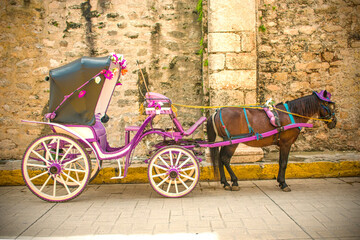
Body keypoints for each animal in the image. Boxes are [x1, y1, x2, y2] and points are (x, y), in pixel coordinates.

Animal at [207, 90, 336, 191]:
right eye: (327, 104)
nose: (334, 122)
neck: (292, 114)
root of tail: (216, 112)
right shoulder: (286, 143)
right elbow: (284, 163)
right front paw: (284, 184)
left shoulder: (282, 144)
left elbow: (280, 162)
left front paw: (280, 181)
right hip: (233, 143)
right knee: (225, 159)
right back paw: (234, 181)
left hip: (227, 141)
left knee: (220, 159)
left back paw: (225, 182)